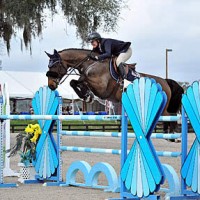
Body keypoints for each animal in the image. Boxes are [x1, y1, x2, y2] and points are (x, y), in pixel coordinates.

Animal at [45, 48, 181, 118]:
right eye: (48, 65)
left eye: (55, 66)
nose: (51, 85)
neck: (91, 63)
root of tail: (165, 81)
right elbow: (74, 82)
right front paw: (87, 95)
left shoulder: (101, 88)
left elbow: (80, 80)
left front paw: (88, 96)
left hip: (162, 108)